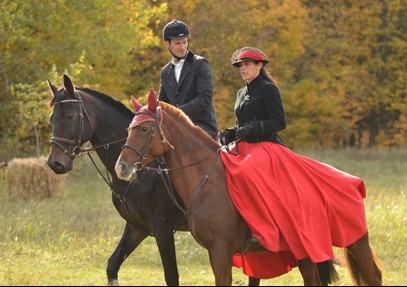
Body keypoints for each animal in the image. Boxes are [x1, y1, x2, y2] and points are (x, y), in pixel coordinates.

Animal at [116, 90, 384, 286]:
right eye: (128, 128)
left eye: (144, 128)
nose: (121, 167)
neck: (206, 179)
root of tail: (354, 181)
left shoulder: (220, 251)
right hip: (307, 250)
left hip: (356, 241)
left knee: (374, 277)